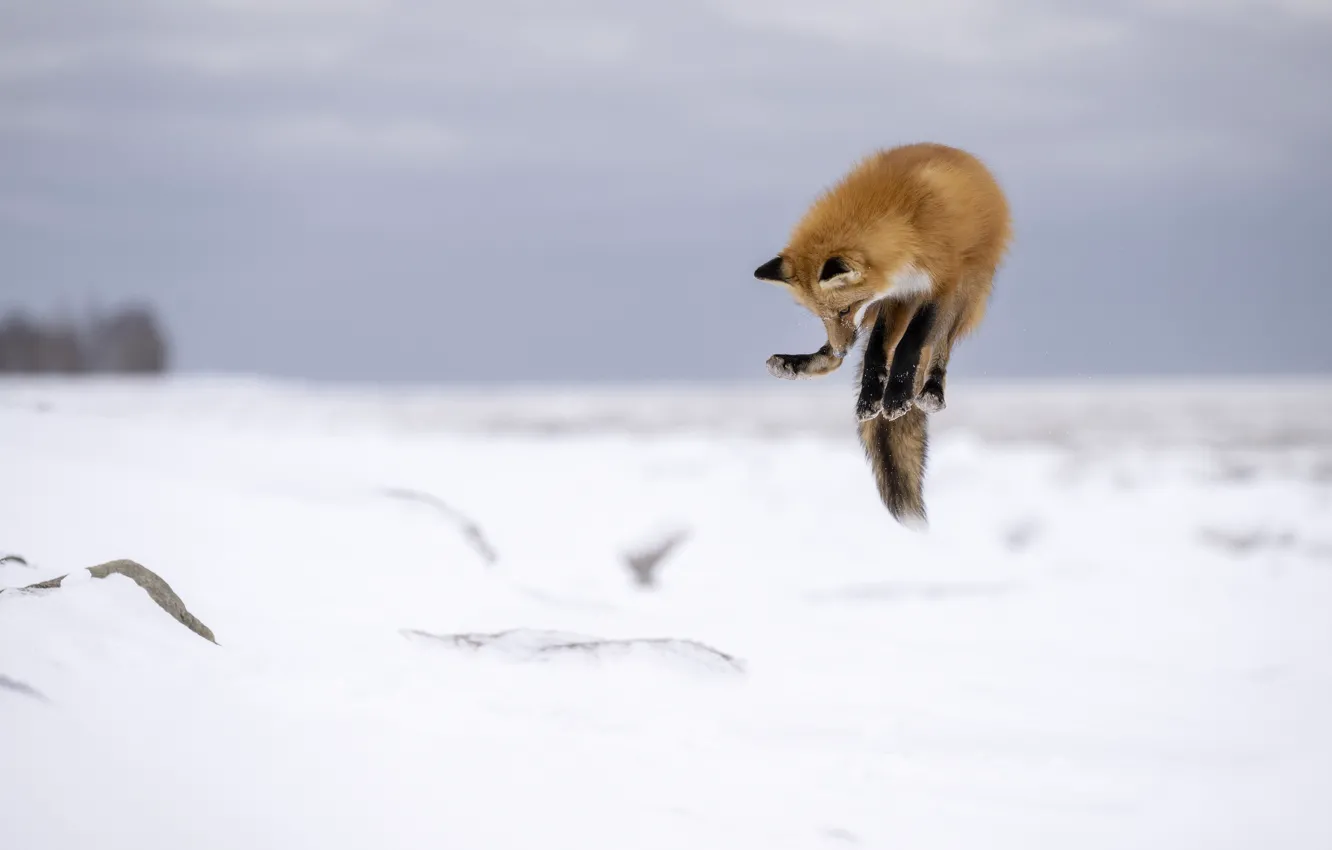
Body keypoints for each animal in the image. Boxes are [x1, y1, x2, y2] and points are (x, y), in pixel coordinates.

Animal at [753, 142, 1012, 528]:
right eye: (823, 315)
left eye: (844, 309)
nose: (842, 348)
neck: (906, 221)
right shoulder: (895, 296)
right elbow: (876, 351)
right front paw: (869, 399)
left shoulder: (939, 286)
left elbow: (910, 345)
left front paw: (897, 398)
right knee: (854, 355)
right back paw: (798, 365)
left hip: (967, 294)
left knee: (940, 350)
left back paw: (930, 391)